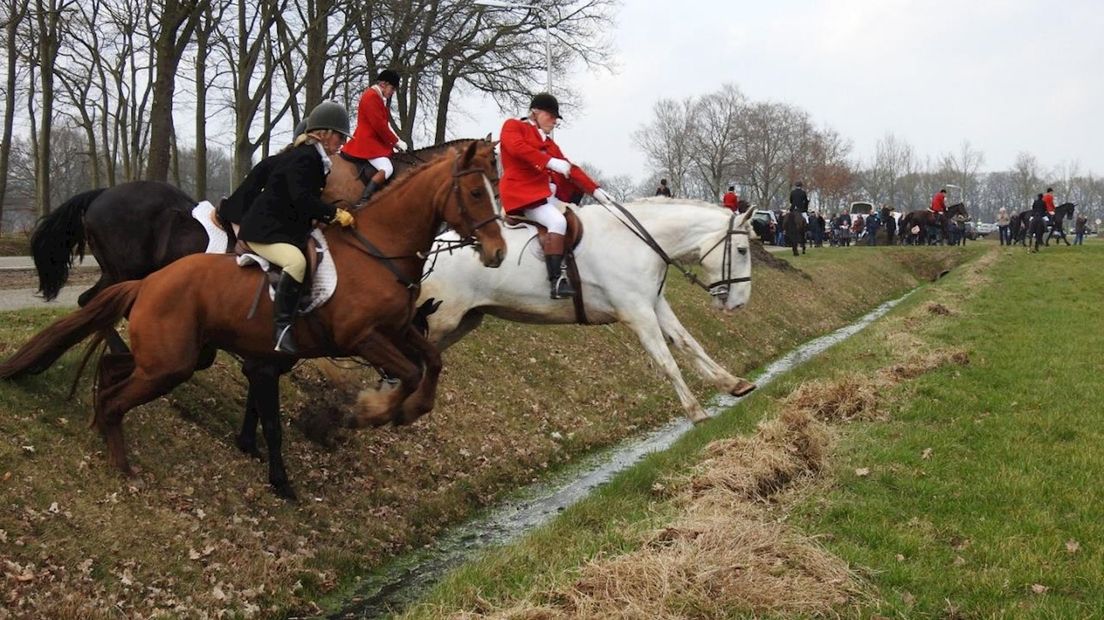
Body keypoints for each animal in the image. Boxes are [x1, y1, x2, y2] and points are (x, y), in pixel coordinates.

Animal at [0, 141, 507, 496]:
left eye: (497, 193)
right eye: (476, 193)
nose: (498, 253)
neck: (377, 249)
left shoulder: (395, 331)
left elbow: (431, 363)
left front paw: (410, 408)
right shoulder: (362, 337)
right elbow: (409, 371)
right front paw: (375, 412)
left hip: (173, 337)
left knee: (104, 336)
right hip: (145, 309)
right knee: (94, 312)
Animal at [364, 195, 759, 421]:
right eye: (741, 250)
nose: (740, 303)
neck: (637, 240)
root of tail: (421, 254)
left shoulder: (654, 304)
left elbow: (690, 345)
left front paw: (732, 383)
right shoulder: (638, 312)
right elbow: (667, 362)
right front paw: (696, 412)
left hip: (460, 323)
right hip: (437, 322)